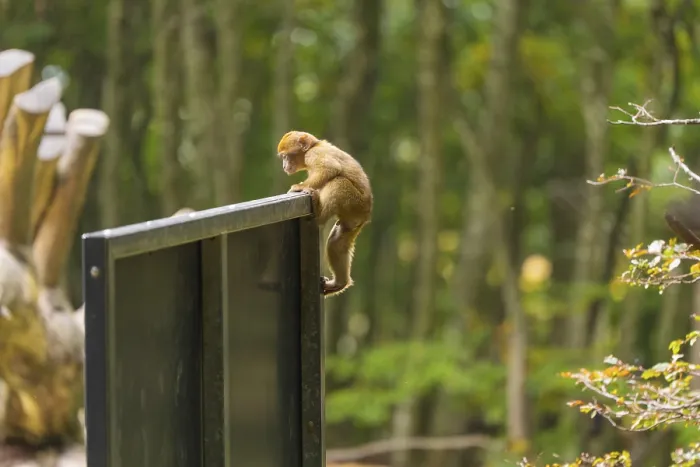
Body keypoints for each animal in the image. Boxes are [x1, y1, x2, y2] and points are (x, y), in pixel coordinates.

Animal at [277, 130, 373, 297]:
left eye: (286, 156)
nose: (284, 165)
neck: (314, 146)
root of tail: (365, 213)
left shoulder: (313, 154)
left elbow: (329, 169)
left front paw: (299, 187)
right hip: (353, 218)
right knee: (337, 242)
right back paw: (340, 283)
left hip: (355, 202)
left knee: (338, 182)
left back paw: (318, 214)